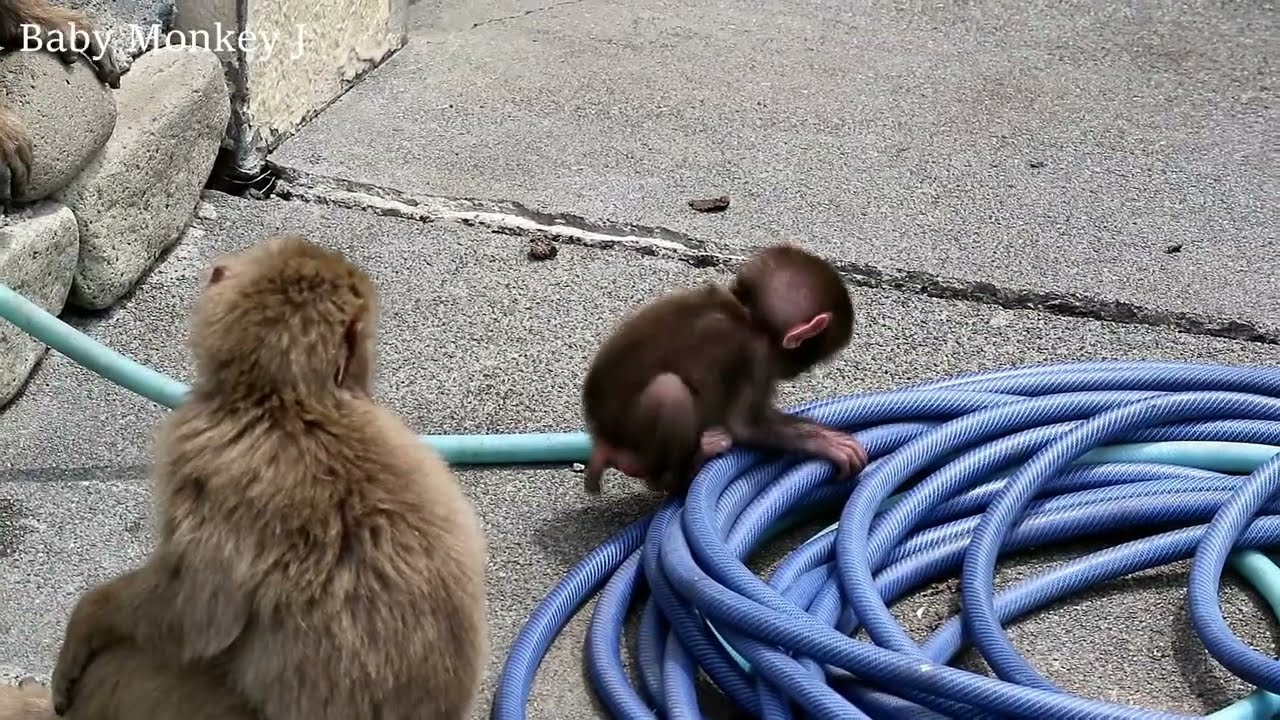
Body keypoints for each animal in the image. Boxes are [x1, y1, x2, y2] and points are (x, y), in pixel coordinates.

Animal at [581, 243, 869, 495]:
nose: (801, 372)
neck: (748, 313)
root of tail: (602, 438)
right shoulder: (755, 353)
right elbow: (744, 425)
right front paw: (825, 442)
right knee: (669, 391)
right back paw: (683, 475)